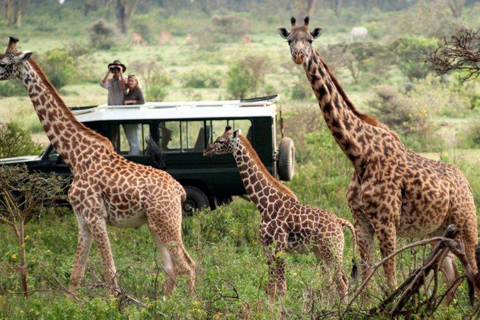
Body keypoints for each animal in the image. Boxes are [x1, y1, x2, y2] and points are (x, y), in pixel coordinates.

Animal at [0, 37, 196, 298]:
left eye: (2, 63)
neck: (75, 158)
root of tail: (178, 190)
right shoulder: (82, 220)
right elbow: (76, 275)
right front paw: (70, 303)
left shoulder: (96, 217)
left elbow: (110, 273)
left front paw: (116, 304)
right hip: (155, 223)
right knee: (170, 266)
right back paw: (164, 302)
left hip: (167, 220)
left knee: (188, 264)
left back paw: (191, 304)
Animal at [202, 127, 356, 302]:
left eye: (220, 141)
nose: (206, 151)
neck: (263, 204)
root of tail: (339, 221)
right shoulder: (266, 246)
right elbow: (271, 287)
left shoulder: (280, 246)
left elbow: (282, 288)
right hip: (320, 252)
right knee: (331, 282)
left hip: (333, 250)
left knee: (342, 282)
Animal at [280, 16, 478, 294]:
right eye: (289, 40)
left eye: (310, 40)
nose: (299, 55)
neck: (358, 155)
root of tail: (467, 183)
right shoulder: (361, 222)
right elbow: (365, 280)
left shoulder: (386, 222)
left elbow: (390, 279)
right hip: (438, 232)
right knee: (453, 274)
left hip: (467, 225)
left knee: (474, 272)